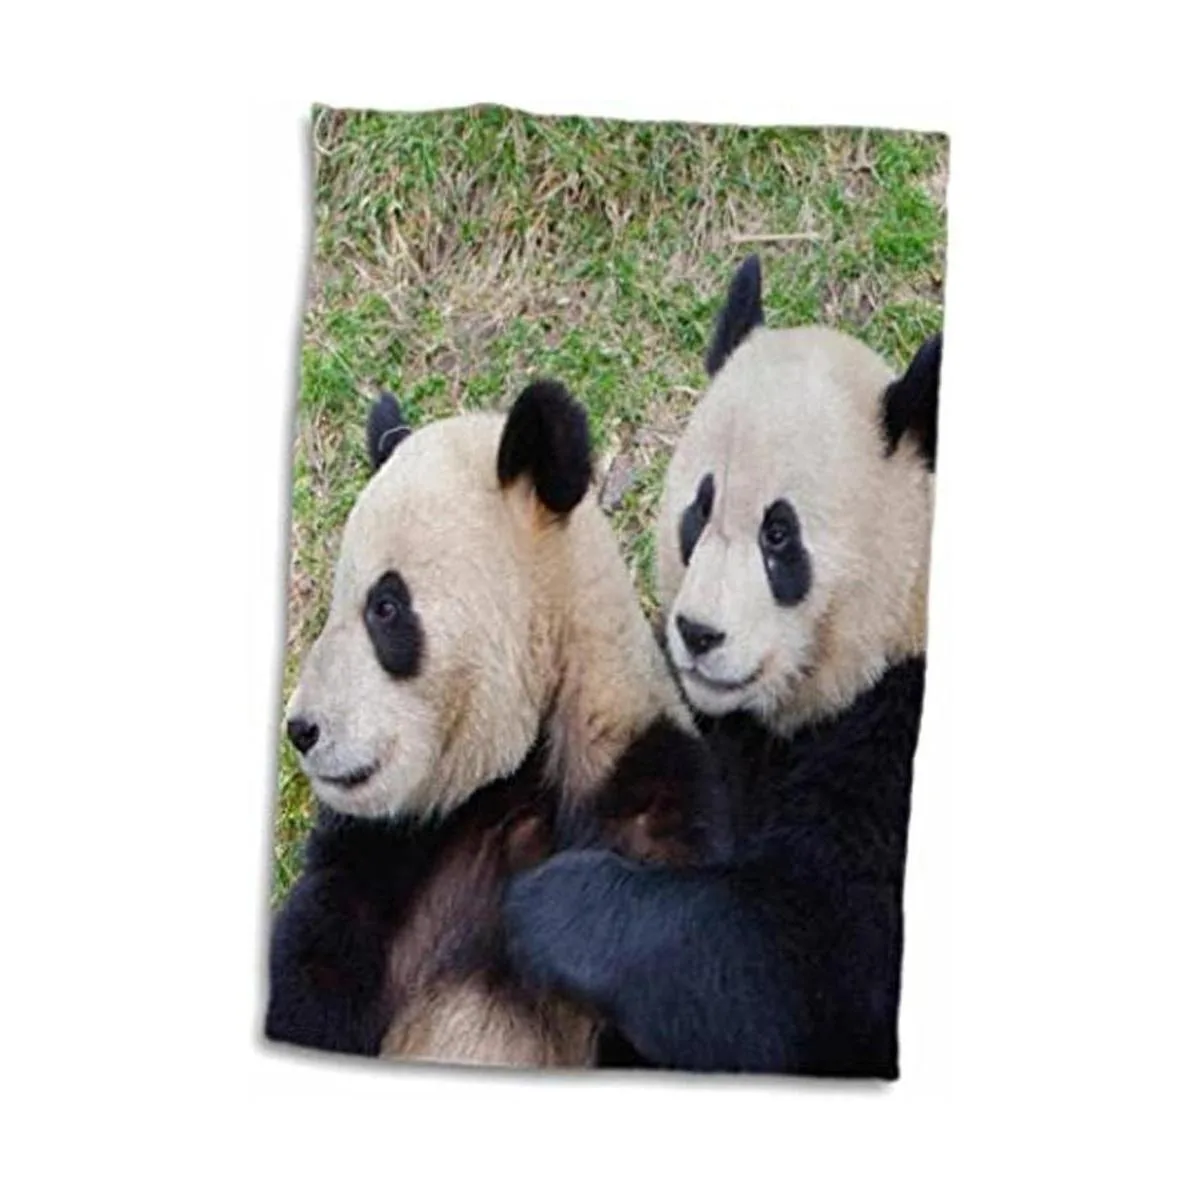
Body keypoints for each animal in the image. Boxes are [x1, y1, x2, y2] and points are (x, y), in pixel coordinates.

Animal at [266, 379, 727, 1067]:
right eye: (335, 606)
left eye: (385, 607)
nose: (302, 729)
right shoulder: (384, 853)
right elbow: (312, 974)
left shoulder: (651, 805)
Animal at [504, 256, 941, 1078]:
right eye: (698, 512)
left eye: (780, 536)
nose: (698, 633)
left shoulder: (894, 740)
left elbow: (792, 965)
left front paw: (544, 901)